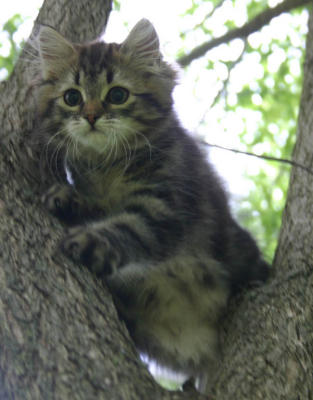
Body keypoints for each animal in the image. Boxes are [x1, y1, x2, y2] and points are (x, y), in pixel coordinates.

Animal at [34, 19, 268, 394]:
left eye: (117, 95)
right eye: (73, 97)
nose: (91, 116)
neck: (108, 164)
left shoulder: (165, 205)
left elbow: (127, 228)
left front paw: (88, 241)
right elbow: (98, 209)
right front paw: (68, 200)